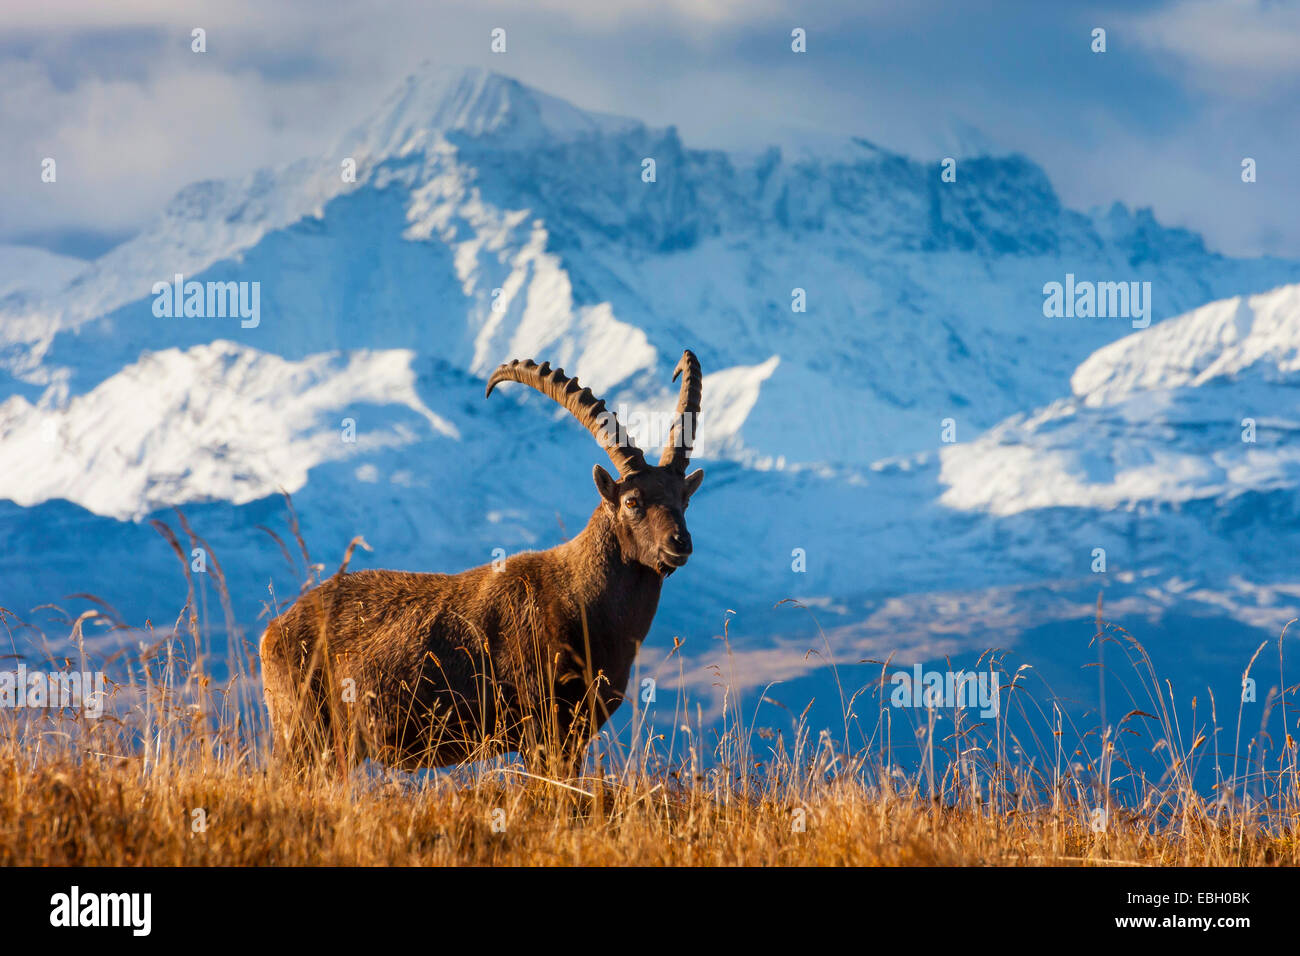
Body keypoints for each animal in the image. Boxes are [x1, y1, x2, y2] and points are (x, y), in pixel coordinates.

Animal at [259, 350, 705, 774]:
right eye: (632, 502)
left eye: (684, 500)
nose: (679, 544)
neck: (581, 597)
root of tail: (272, 631)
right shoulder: (541, 729)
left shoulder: (574, 736)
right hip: (304, 733)